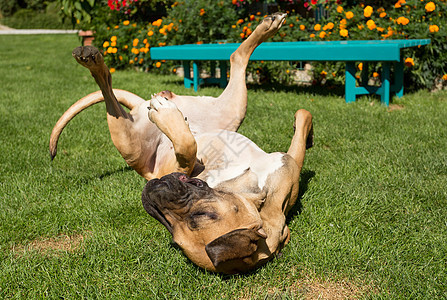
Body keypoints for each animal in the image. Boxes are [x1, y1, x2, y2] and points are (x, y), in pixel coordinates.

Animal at [49, 12, 314, 274]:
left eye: (199, 215)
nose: (152, 193)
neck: (253, 191)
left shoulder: (287, 166)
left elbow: (303, 117)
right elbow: (188, 147)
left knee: (235, 59)